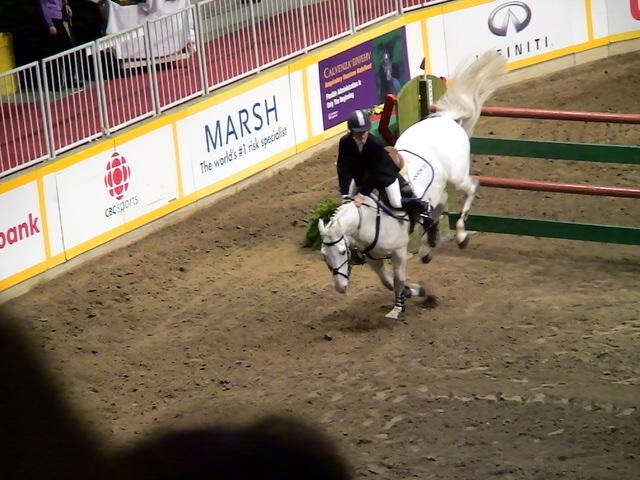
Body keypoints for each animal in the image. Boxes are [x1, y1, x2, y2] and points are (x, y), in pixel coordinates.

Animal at [318, 50, 507, 320]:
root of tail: (445, 119)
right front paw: (415, 292)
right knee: (437, 208)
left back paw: (461, 236)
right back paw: (428, 250)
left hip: (457, 177)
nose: (341, 288)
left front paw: (398, 307)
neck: (367, 220)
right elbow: (388, 282)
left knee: (470, 189)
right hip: (436, 192)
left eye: (343, 252)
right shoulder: (374, 258)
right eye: (325, 256)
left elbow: (397, 280)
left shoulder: (398, 252)